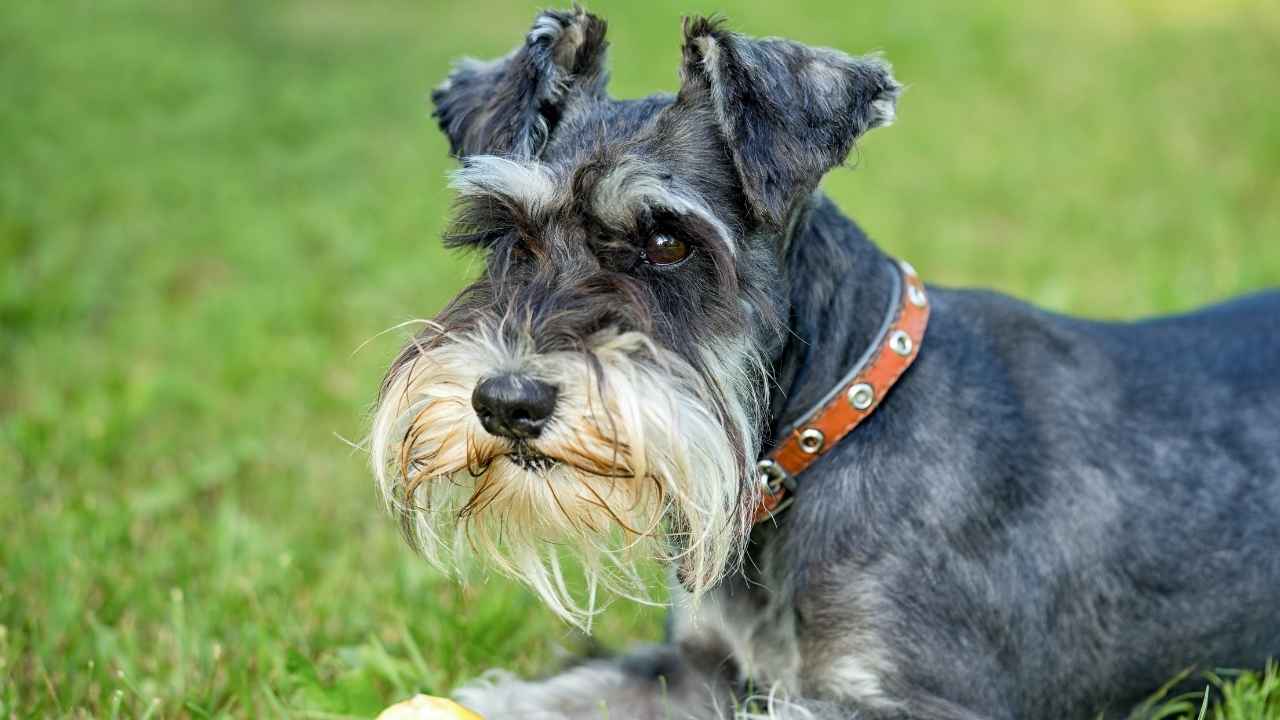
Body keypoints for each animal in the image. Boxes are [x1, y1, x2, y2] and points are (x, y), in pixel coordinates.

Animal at [371, 7, 1280, 717]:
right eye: (506, 234)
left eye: (667, 240)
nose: (508, 401)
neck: (827, 429)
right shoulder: (694, 668)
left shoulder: (926, 699)